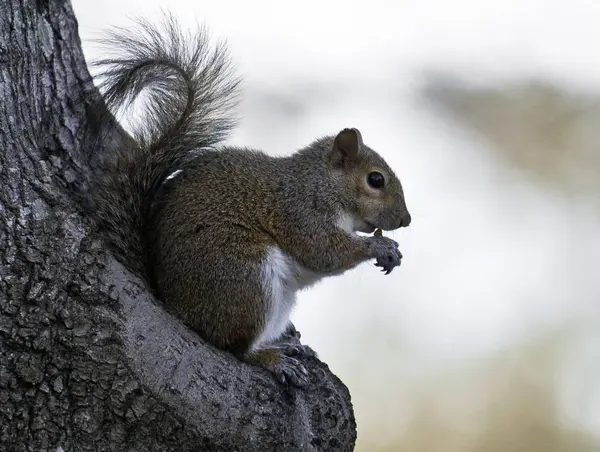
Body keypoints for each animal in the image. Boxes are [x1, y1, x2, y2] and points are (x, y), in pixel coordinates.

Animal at [86, 15, 410, 388]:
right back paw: (271, 357)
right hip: (244, 276)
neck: (318, 184)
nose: (406, 220)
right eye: (376, 180)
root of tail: (174, 302)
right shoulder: (298, 211)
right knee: (234, 345)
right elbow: (323, 251)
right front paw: (381, 247)